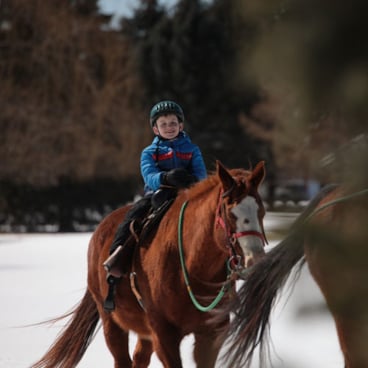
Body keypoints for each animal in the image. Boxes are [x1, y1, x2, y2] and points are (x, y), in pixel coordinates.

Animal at [32, 161, 268, 368]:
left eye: (261, 211)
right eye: (229, 212)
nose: (255, 259)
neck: (191, 270)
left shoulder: (211, 335)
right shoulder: (164, 335)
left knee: (139, 359)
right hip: (111, 322)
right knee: (122, 360)